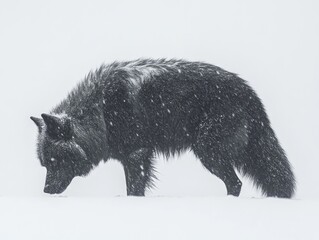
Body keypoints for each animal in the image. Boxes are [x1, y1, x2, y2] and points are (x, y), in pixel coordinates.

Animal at [31, 58, 296, 197]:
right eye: (45, 165)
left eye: (55, 162)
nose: (45, 192)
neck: (102, 112)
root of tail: (250, 93)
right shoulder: (134, 156)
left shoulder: (136, 154)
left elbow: (134, 189)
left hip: (208, 151)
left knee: (235, 183)